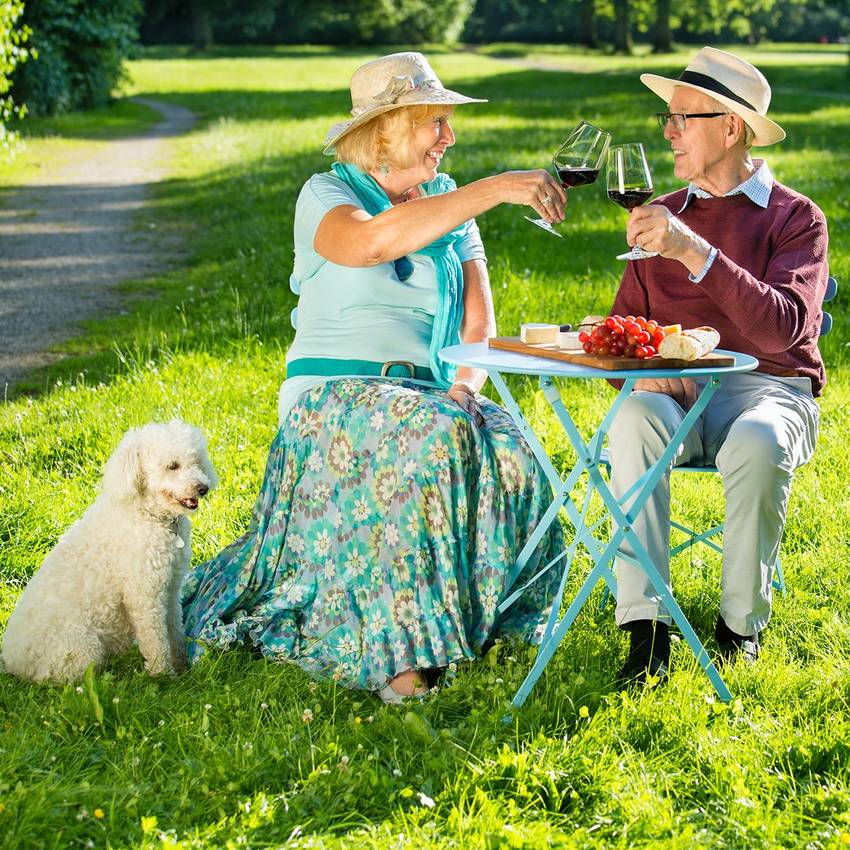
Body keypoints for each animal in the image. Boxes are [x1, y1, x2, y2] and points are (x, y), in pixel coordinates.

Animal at [1, 420, 219, 684]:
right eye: (172, 466)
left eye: (197, 461)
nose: (203, 488)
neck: (149, 516)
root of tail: (11, 661)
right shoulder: (144, 596)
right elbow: (156, 641)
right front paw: (164, 677)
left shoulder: (171, 588)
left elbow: (175, 630)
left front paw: (182, 668)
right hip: (82, 650)